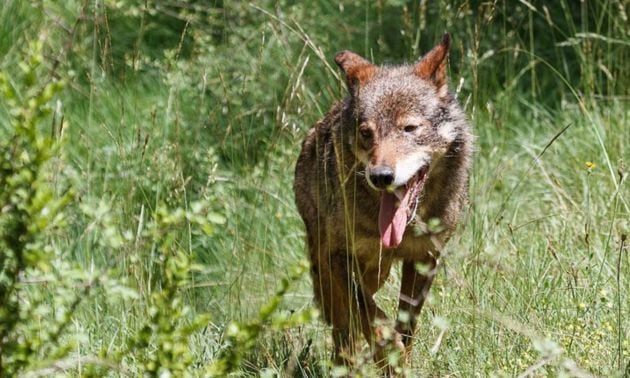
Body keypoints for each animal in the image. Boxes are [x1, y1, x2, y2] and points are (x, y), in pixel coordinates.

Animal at [294, 34, 472, 370]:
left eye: (409, 128)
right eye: (367, 133)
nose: (380, 176)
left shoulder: (425, 259)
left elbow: (406, 325)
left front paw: (398, 361)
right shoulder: (339, 257)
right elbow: (370, 315)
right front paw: (387, 354)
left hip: (377, 271)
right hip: (332, 265)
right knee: (343, 324)